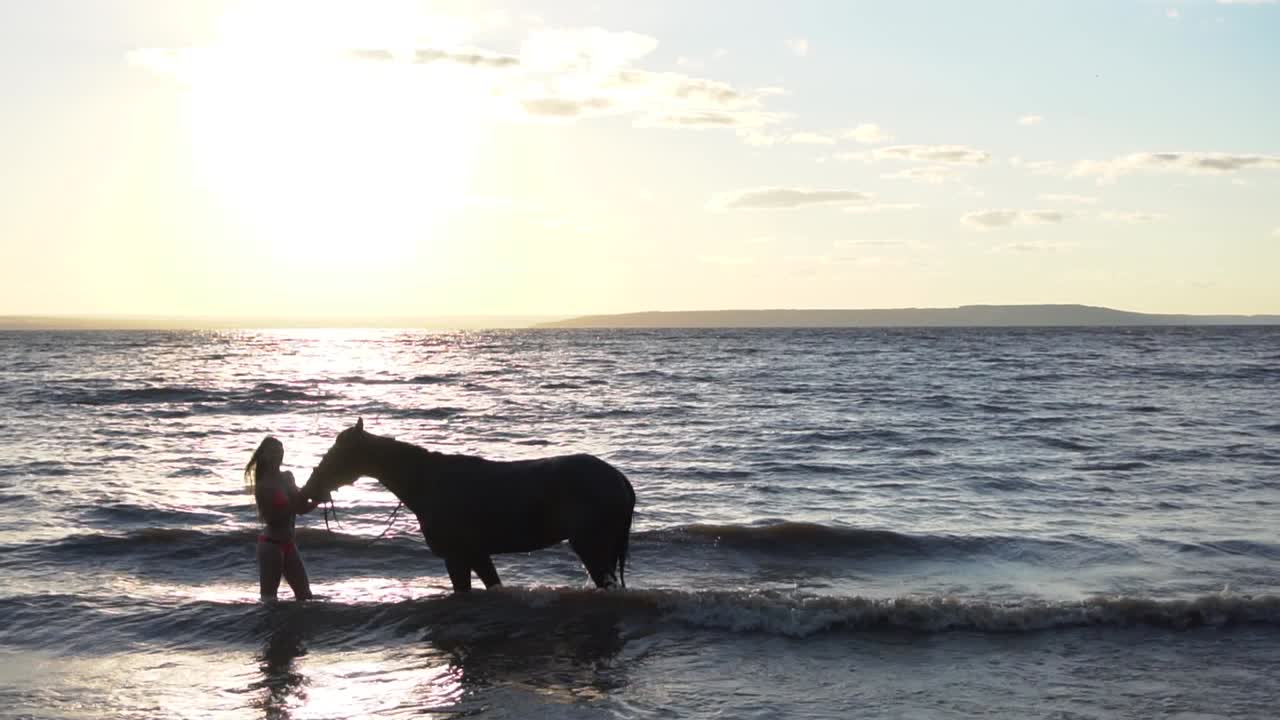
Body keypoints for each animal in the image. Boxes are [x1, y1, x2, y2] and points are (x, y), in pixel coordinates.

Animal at [300, 419, 635, 593]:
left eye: (335, 455)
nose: (307, 492)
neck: (428, 482)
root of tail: (619, 479)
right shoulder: (477, 555)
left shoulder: (458, 557)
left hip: (591, 548)